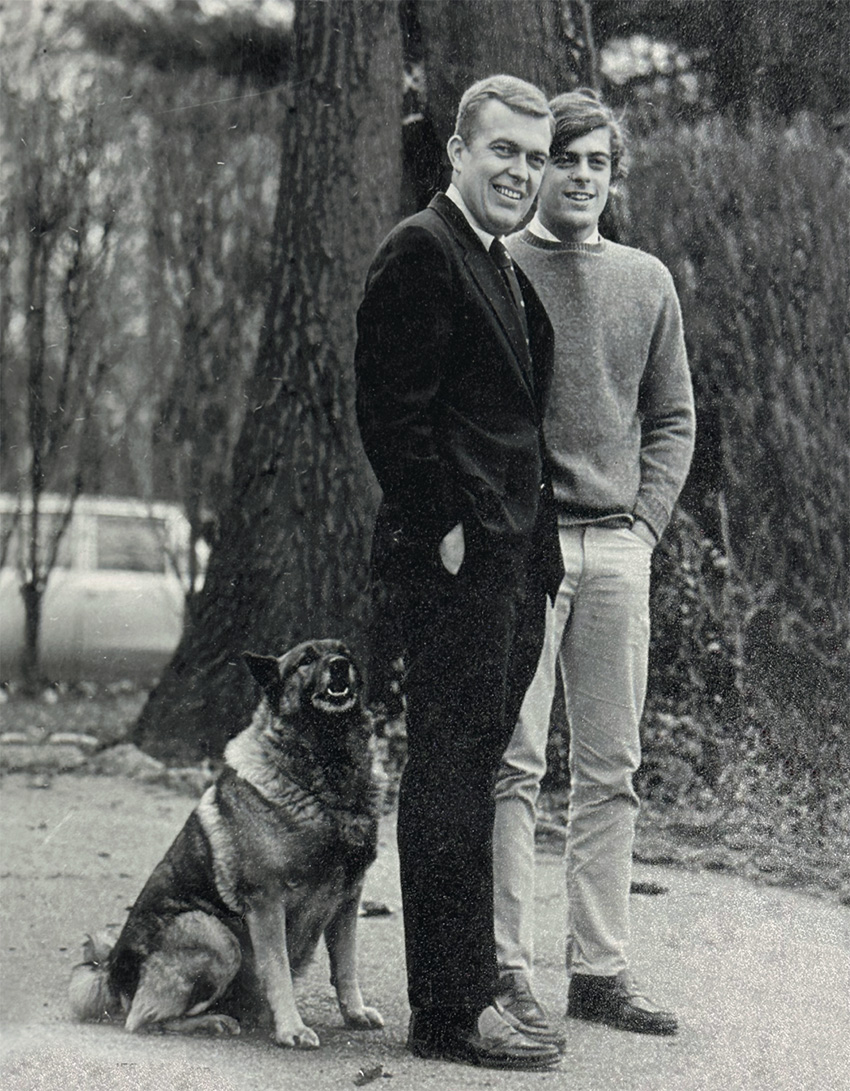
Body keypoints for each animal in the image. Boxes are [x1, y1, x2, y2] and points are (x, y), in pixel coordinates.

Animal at [68, 637, 384, 1047]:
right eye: (306, 660)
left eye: (344, 652)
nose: (339, 665)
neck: (327, 772)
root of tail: (110, 971)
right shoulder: (267, 901)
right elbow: (278, 970)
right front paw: (292, 1028)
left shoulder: (348, 900)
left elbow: (346, 967)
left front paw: (354, 1012)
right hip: (216, 936)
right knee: (143, 1017)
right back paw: (211, 1021)